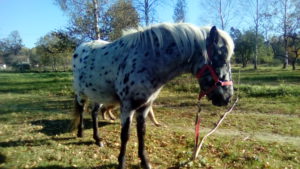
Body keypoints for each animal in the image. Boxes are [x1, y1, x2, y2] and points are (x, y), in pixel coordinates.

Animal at [72, 22, 234, 169]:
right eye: (219, 58)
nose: (227, 97)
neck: (145, 61)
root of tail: (80, 48)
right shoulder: (127, 107)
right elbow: (125, 135)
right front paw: (121, 162)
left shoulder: (144, 106)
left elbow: (142, 132)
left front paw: (144, 162)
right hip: (81, 93)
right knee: (81, 109)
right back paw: (80, 133)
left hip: (98, 94)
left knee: (94, 113)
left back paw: (97, 139)